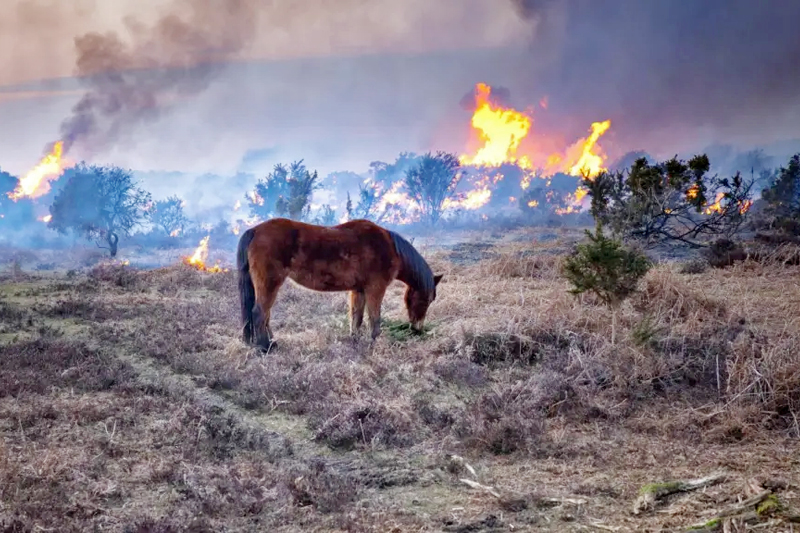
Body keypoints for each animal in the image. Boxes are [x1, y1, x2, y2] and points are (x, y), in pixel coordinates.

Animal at [236, 218, 443, 351]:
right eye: (426, 300)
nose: (417, 329)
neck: (389, 247)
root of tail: (255, 230)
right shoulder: (375, 289)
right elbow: (374, 319)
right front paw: (373, 344)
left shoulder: (359, 290)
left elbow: (356, 317)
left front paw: (355, 341)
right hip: (269, 284)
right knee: (260, 313)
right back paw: (264, 347)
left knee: (265, 315)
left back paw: (271, 343)